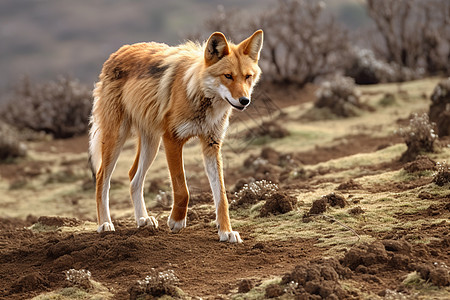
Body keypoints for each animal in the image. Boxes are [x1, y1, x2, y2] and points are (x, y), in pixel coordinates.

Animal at [89, 29, 264, 243]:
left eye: (248, 77)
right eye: (228, 76)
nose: (244, 100)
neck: (197, 93)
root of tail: (118, 52)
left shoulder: (211, 144)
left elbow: (221, 196)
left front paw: (226, 231)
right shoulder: (172, 139)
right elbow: (182, 190)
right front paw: (176, 222)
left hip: (151, 144)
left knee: (133, 177)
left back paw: (143, 220)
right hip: (117, 138)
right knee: (101, 178)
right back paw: (105, 224)